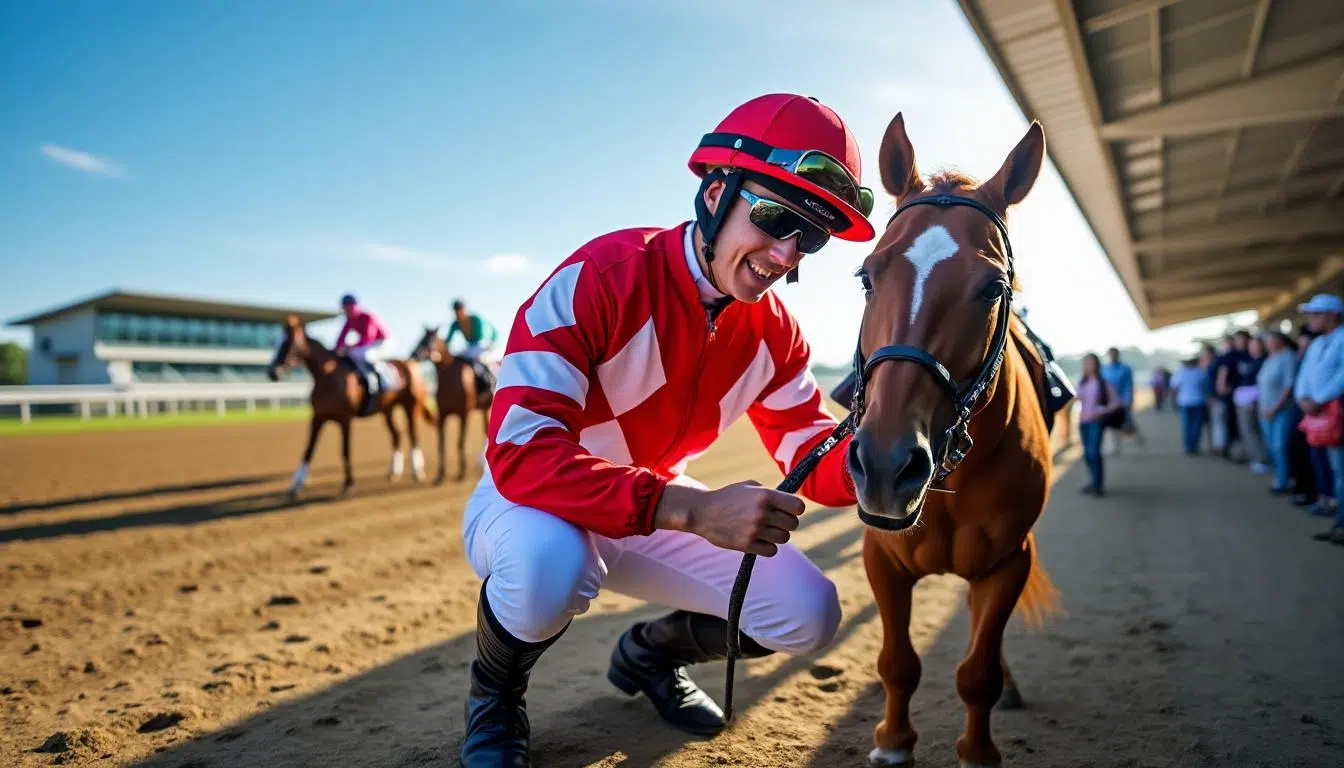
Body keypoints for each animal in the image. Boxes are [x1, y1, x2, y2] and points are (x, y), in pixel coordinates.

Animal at [268, 314, 436, 498]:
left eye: (287, 343)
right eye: (274, 342)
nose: (272, 372)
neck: (328, 376)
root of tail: (411, 363)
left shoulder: (345, 419)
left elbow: (345, 450)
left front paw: (349, 484)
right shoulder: (318, 417)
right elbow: (308, 449)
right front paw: (295, 485)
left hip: (411, 406)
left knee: (414, 435)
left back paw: (417, 472)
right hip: (388, 409)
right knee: (396, 435)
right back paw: (393, 472)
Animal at [408, 325, 494, 484]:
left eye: (430, 340)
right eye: (421, 338)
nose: (413, 354)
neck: (449, 375)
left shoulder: (464, 414)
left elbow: (460, 441)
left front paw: (461, 472)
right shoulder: (442, 415)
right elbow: (441, 443)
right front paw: (440, 475)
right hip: (485, 407)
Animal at [843, 114, 1064, 768]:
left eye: (992, 288)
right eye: (867, 277)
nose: (885, 464)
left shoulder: (1010, 561)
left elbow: (977, 672)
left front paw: (977, 748)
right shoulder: (881, 556)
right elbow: (898, 663)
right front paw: (892, 742)